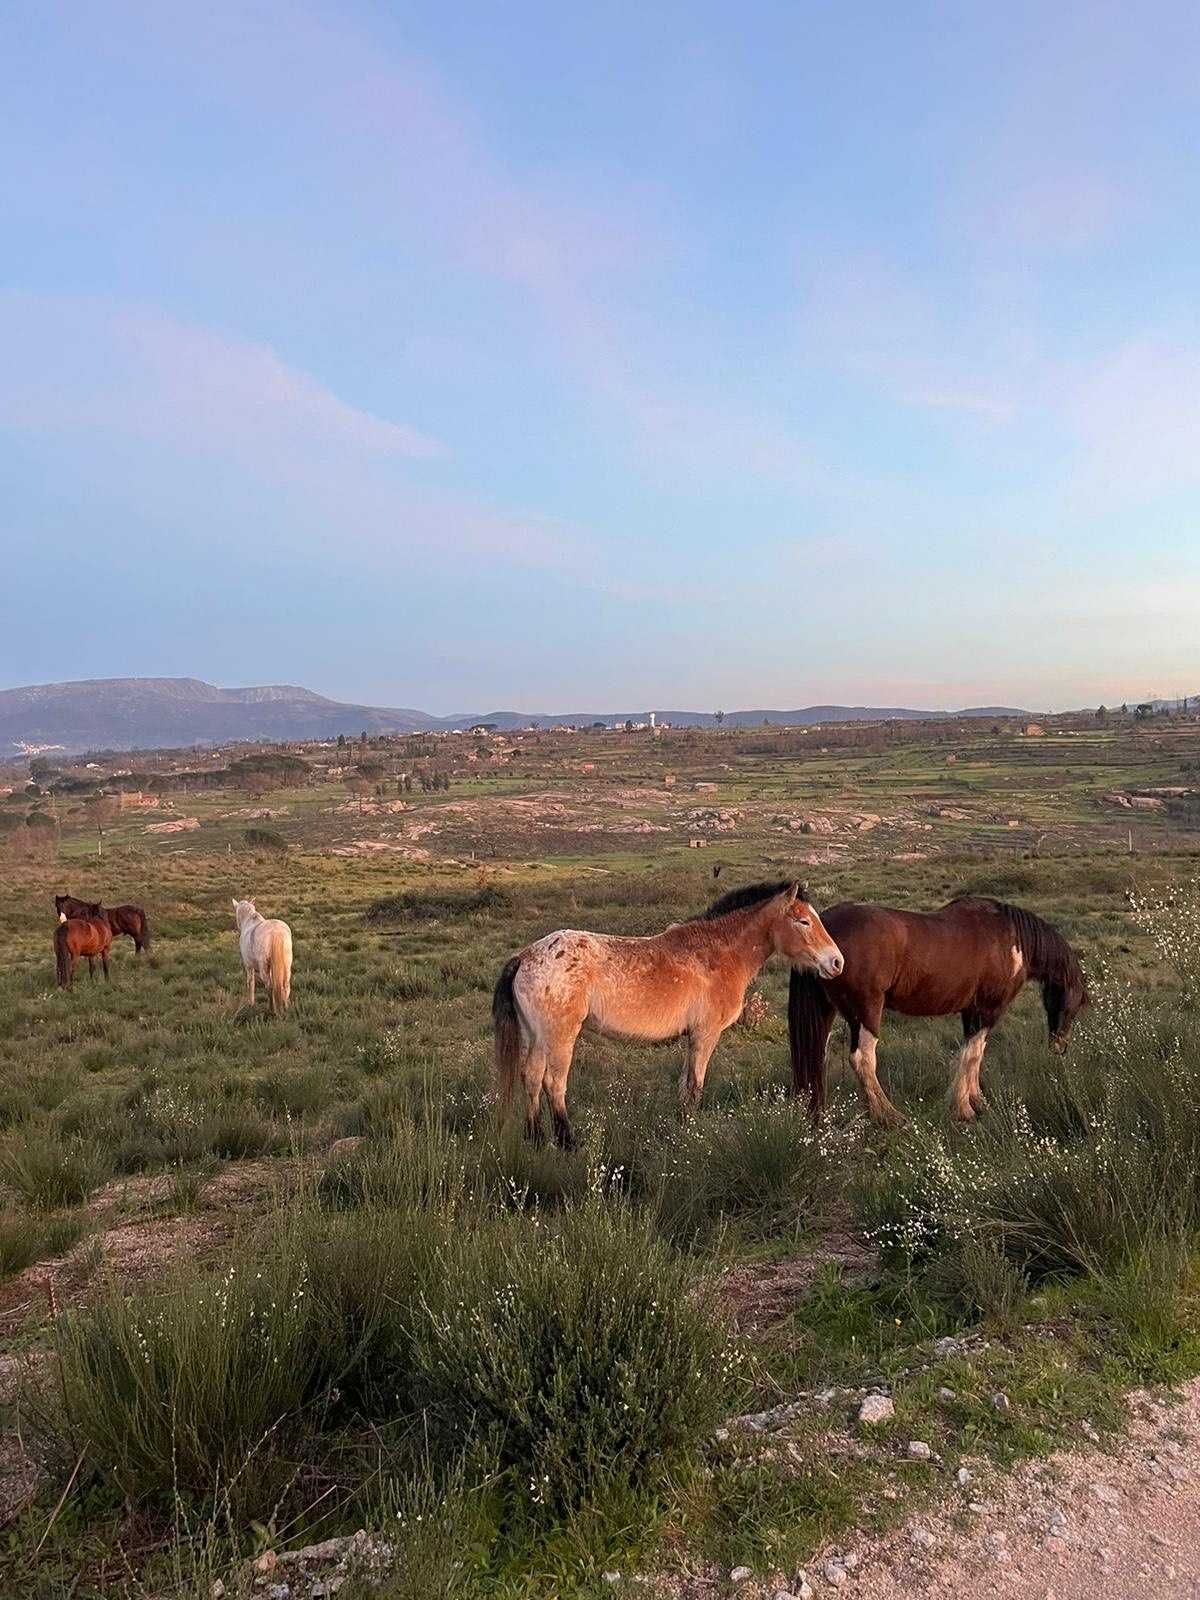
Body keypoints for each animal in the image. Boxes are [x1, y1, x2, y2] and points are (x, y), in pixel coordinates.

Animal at [489, 876, 844, 1152]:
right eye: (803, 921)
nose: (836, 962)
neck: (719, 953)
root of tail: (525, 956)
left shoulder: (692, 1038)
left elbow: (685, 1085)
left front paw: (681, 1125)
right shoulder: (705, 1035)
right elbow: (696, 1085)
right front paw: (692, 1130)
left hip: (534, 1036)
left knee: (531, 1078)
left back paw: (535, 1139)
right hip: (560, 1037)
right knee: (553, 1083)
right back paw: (567, 1142)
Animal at [790, 896, 1088, 1132]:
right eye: (1073, 1005)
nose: (1060, 1047)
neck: (1012, 941)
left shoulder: (972, 1013)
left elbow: (974, 1054)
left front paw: (977, 1101)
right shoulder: (987, 1011)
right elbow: (971, 1055)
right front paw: (964, 1109)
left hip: (831, 1012)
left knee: (821, 1058)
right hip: (866, 1011)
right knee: (863, 1059)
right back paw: (890, 1117)